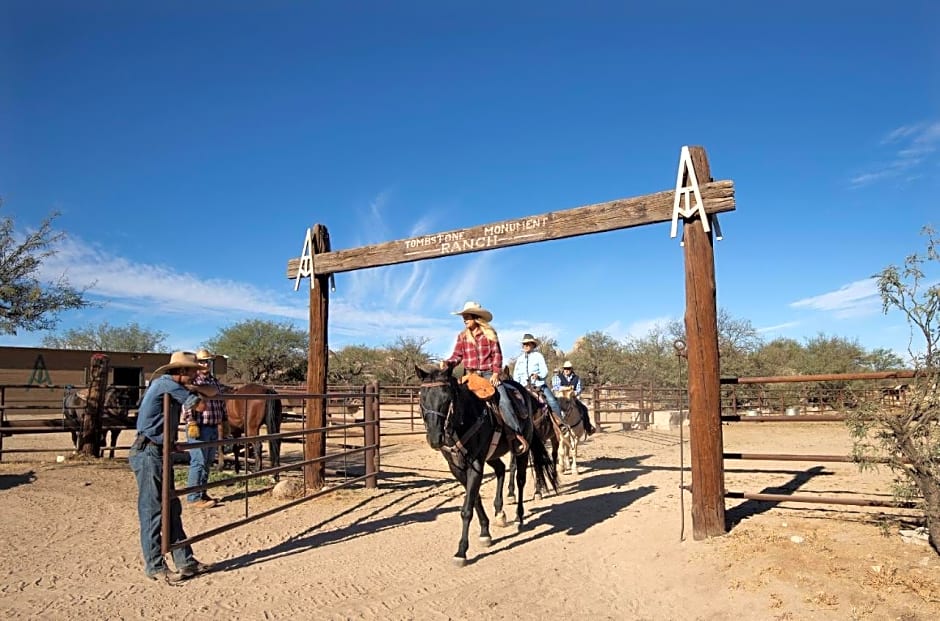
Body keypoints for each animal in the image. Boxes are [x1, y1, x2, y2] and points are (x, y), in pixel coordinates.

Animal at [414, 364, 560, 568]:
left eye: (447, 397)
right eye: (422, 398)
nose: (435, 438)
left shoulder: (475, 463)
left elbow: (467, 509)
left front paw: (461, 551)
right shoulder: (457, 467)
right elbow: (474, 499)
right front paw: (485, 532)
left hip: (522, 449)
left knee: (520, 480)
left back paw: (519, 517)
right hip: (492, 456)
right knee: (500, 470)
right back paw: (500, 512)